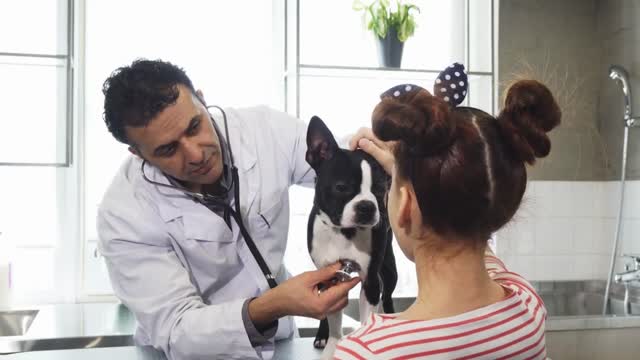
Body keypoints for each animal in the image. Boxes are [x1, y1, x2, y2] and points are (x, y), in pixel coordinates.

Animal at [304, 116, 396, 358]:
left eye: (380, 189)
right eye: (341, 187)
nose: (367, 206)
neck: (345, 232)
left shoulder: (371, 280)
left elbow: (367, 319)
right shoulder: (329, 276)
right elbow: (333, 319)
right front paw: (332, 345)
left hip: (388, 270)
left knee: (388, 296)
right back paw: (321, 335)